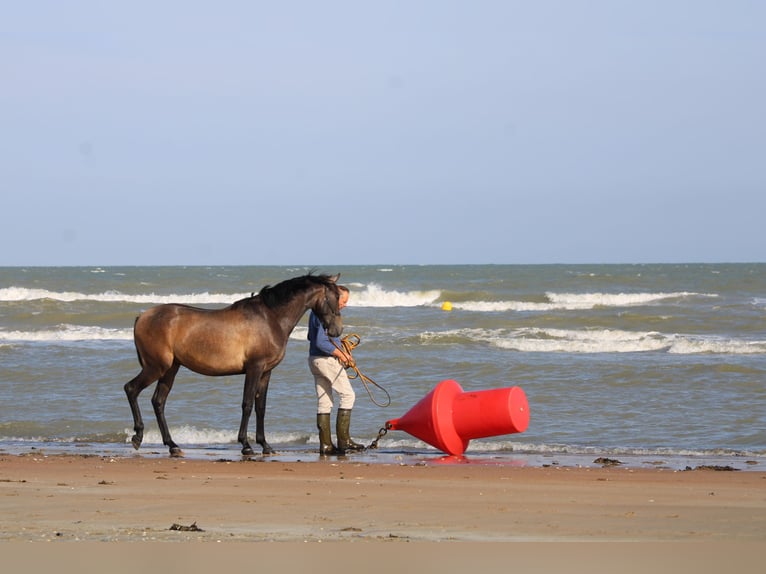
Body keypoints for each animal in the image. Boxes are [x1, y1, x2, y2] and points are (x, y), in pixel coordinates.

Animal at [123, 273, 343, 457]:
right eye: (335, 298)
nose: (337, 331)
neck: (270, 318)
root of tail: (142, 317)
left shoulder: (266, 372)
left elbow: (260, 407)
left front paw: (265, 445)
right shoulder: (254, 368)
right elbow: (247, 404)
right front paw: (246, 445)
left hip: (171, 369)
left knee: (158, 401)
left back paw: (172, 445)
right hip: (156, 367)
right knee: (131, 389)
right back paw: (138, 437)